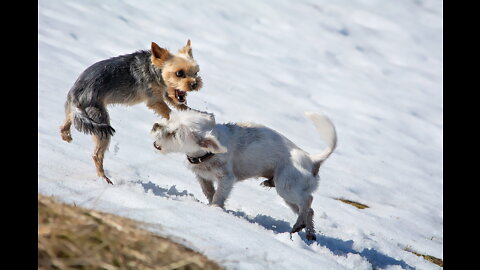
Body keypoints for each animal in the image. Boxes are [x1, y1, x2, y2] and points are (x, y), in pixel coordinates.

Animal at [60, 40, 202, 184]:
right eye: (179, 73)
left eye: (196, 73)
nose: (195, 84)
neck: (154, 69)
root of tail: (75, 95)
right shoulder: (155, 100)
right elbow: (169, 112)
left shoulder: (167, 93)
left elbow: (180, 104)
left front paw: (197, 113)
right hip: (100, 119)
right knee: (97, 154)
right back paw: (104, 178)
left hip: (76, 112)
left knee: (65, 123)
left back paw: (66, 135)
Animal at [151, 108, 338, 239]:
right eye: (170, 120)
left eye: (174, 134)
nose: (156, 126)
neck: (208, 154)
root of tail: (312, 159)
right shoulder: (203, 177)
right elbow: (209, 191)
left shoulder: (226, 179)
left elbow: (218, 196)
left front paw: (215, 209)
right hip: (289, 194)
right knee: (309, 210)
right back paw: (309, 233)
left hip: (286, 186)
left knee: (308, 200)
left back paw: (299, 225)